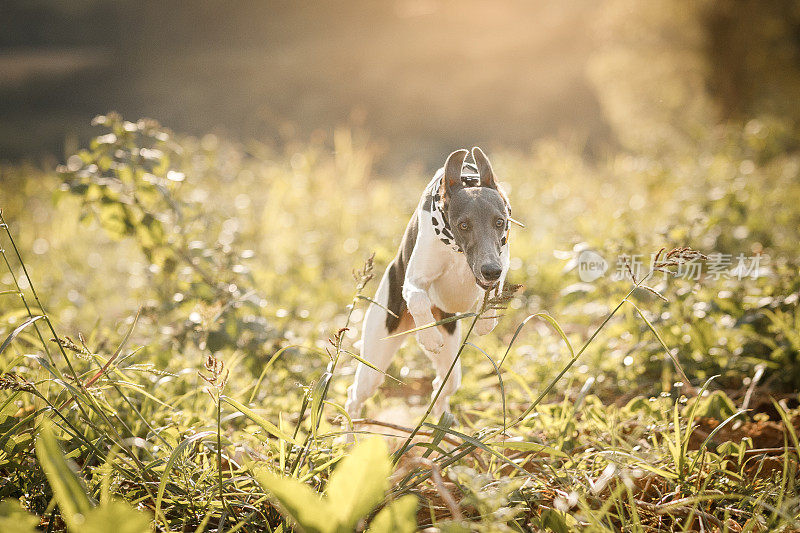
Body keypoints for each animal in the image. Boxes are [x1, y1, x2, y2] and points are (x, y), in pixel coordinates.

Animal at [346, 148, 512, 422]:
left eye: (500, 222)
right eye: (463, 225)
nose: (490, 270)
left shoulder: (502, 260)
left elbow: (496, 286)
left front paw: (486, 321)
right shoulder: (415, 280)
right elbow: (418, 298)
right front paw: (430, 338)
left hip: (451, 362)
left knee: (441, 386)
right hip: (374, 361)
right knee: (355, 394)